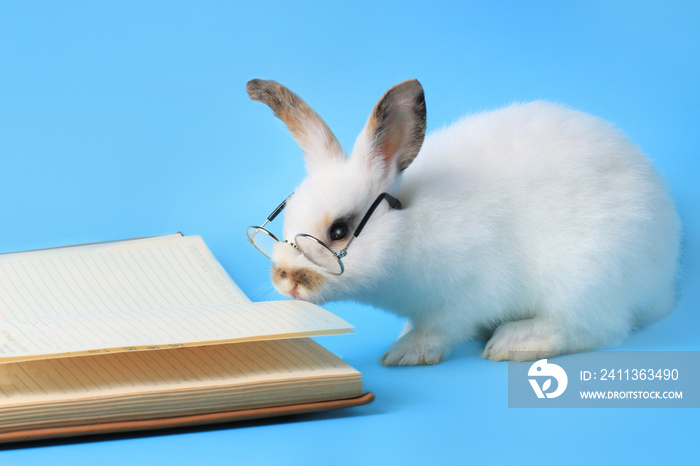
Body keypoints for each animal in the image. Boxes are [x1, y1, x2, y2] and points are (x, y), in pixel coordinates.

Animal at [245, 78, 680, 366]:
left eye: (338, 231)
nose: (285, 278)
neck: (408, 229)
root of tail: (663, 283)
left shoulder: (466, 295)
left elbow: (440, 328)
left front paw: (405, 353)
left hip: (583, 279)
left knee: (597, 328)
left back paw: (514, 342)